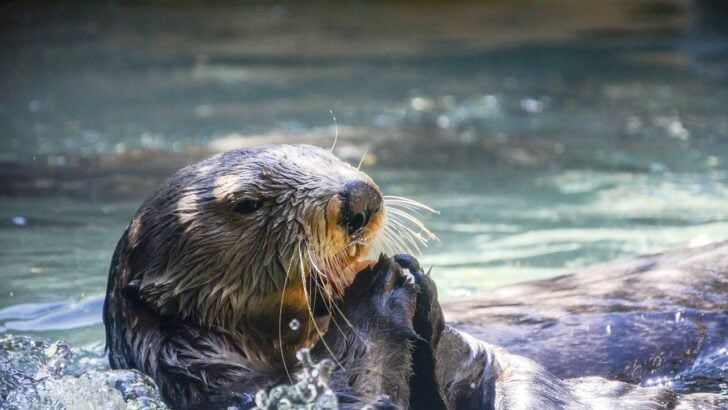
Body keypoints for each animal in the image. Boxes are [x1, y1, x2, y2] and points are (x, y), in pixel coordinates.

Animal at [104, 144, 725, 409]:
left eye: (323, 153)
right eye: (246, 203)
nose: (360, 196)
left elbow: (498, 369)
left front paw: (417, 287)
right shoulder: (221, 390)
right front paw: (376, 293)